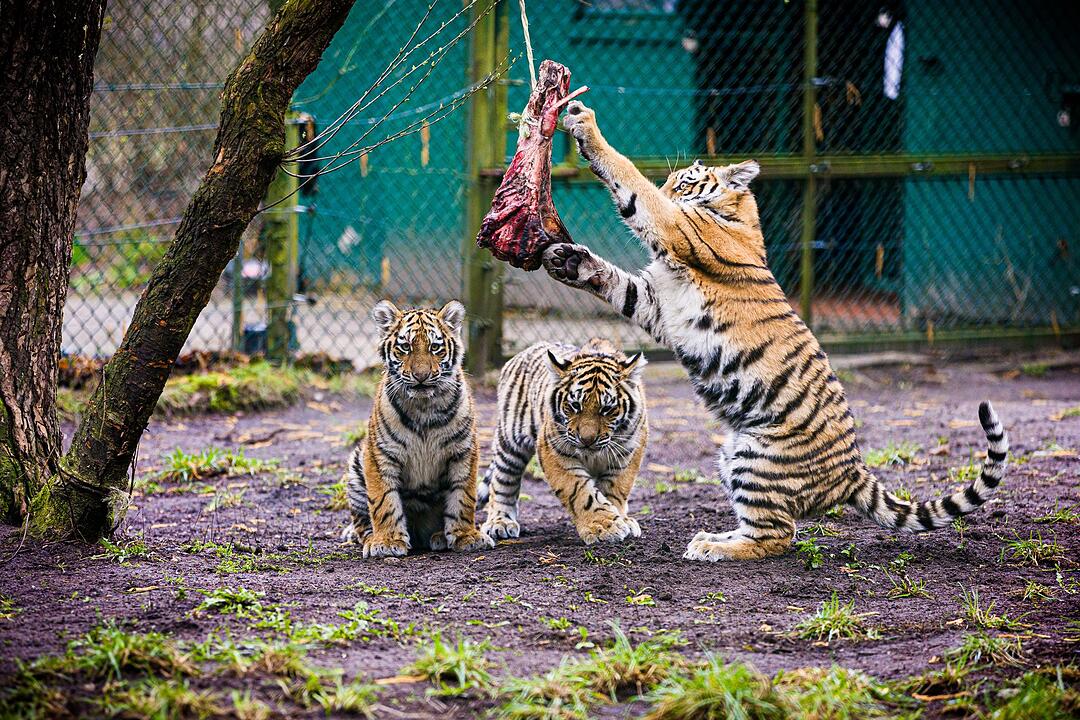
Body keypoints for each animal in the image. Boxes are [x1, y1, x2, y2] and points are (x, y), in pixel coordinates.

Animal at [342, 299, 494, 558]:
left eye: (435, 347)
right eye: (405, 347)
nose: (421, 376)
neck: (424, 406)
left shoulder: (464, 452)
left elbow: (463, 497)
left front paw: (466, 536)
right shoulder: (380, 455)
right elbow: (384, 500)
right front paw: (387, 542)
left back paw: (439, 536)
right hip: (356, 464)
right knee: (362, 521)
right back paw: (365, 535)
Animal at [478, 338, 648, 545]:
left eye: (607, 409)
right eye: (575, 405)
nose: (587, 440)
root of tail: (522, 353)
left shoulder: (628, 451)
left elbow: (616, 489)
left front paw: (620, 519)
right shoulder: (554, 450)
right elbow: (581, 491)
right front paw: (603, 526)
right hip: (511, 442)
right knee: (502, 481)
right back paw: (500, 522)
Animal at [540, 100, 1009, 561]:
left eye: (684, 183)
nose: (671, 187)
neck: (737, 216)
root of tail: (853, 471)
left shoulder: (674, 230)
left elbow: (630, 178)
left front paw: (585, 125)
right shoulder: (656, 304)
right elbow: (618, 283)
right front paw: (570, 262)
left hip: (756, 459)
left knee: (778, 537)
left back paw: (711, 546)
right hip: (733, 452)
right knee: (774, 527)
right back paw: (714, 537)